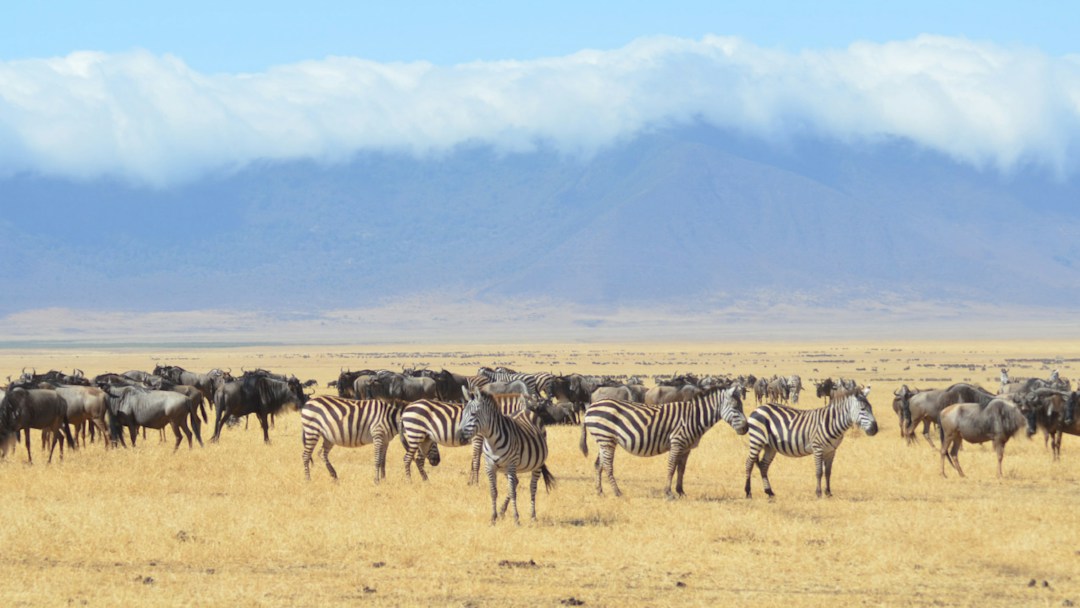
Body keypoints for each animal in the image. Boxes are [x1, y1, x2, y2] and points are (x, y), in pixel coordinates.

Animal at [457, 388, 555, 524]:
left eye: (473, 414)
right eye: (463, 414)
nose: (459, 437)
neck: (492, 441)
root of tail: (526, 410)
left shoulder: (511, 464)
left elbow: (512, 492)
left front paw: (516, 519)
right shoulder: (490, 466)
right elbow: (493, 492)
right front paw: (493, 518)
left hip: (536, 464)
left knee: (532, 487)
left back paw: (532, 516)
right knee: (516, 482)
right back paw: (502, 511)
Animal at [580, 384, 748, 499]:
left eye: (741, 406)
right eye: (736, 407)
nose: (746, 428)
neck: (694, 417)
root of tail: (591, 407)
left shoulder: (686, 448)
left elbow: (681, 469)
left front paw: (681, 492)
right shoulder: (677, 442)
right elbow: (672, 467)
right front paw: (668, 492)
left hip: (604, 440)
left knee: (598, 464)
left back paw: (600, 491)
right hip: (606, 438)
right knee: (608, 466)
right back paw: (617, 492)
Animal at [744, 388, 879, 499]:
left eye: (871, 408)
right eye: (863, 409)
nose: (875, 430)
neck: (832, 422)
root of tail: (759, 408)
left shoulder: (831, 451)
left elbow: (828, 472)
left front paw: (828, 492)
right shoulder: (818, 448)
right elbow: (819, 472)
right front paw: (818, 493)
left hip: (770, 446)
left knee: (763, 466)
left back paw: (769, 492)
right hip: (756, 440)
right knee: (749, 463)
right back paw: (748, 492)